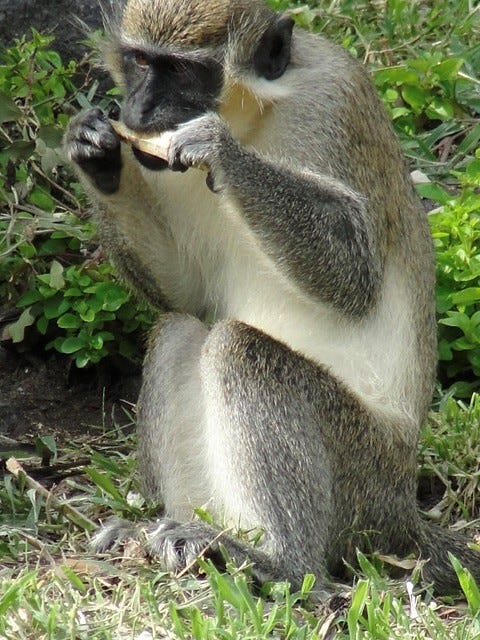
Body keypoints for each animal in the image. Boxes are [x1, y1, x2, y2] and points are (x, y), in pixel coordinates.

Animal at [64, 0, 480, 596]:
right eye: (141, 61)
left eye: (185, 71)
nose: (139, 109)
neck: (255, 118)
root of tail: (402, 508)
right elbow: (184, 291)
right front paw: (94, 151)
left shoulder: (332, 102)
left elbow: (354, 275)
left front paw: (221, 152)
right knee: (180, 330)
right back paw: (175, 532)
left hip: (363, 477)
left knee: (240, 349)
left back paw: (279, 562)